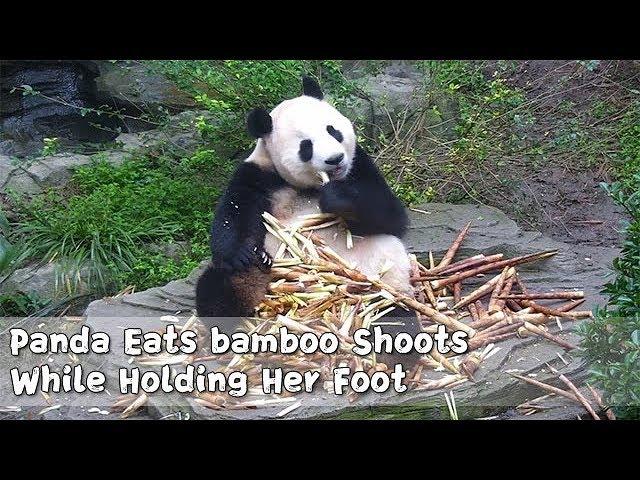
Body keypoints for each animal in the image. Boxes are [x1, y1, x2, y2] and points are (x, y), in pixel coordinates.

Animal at [198, 77, 422, 366]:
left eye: (333, 131)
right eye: (306, 145)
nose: (336, 159)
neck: (309, 186)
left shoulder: (359, 164)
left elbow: (392, 216)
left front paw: (338, 198)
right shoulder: (258, 174)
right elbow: (233, 214)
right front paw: (241, 254)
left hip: (383, 281)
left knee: (391, 312)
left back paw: (396, 349)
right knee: (219, 288)